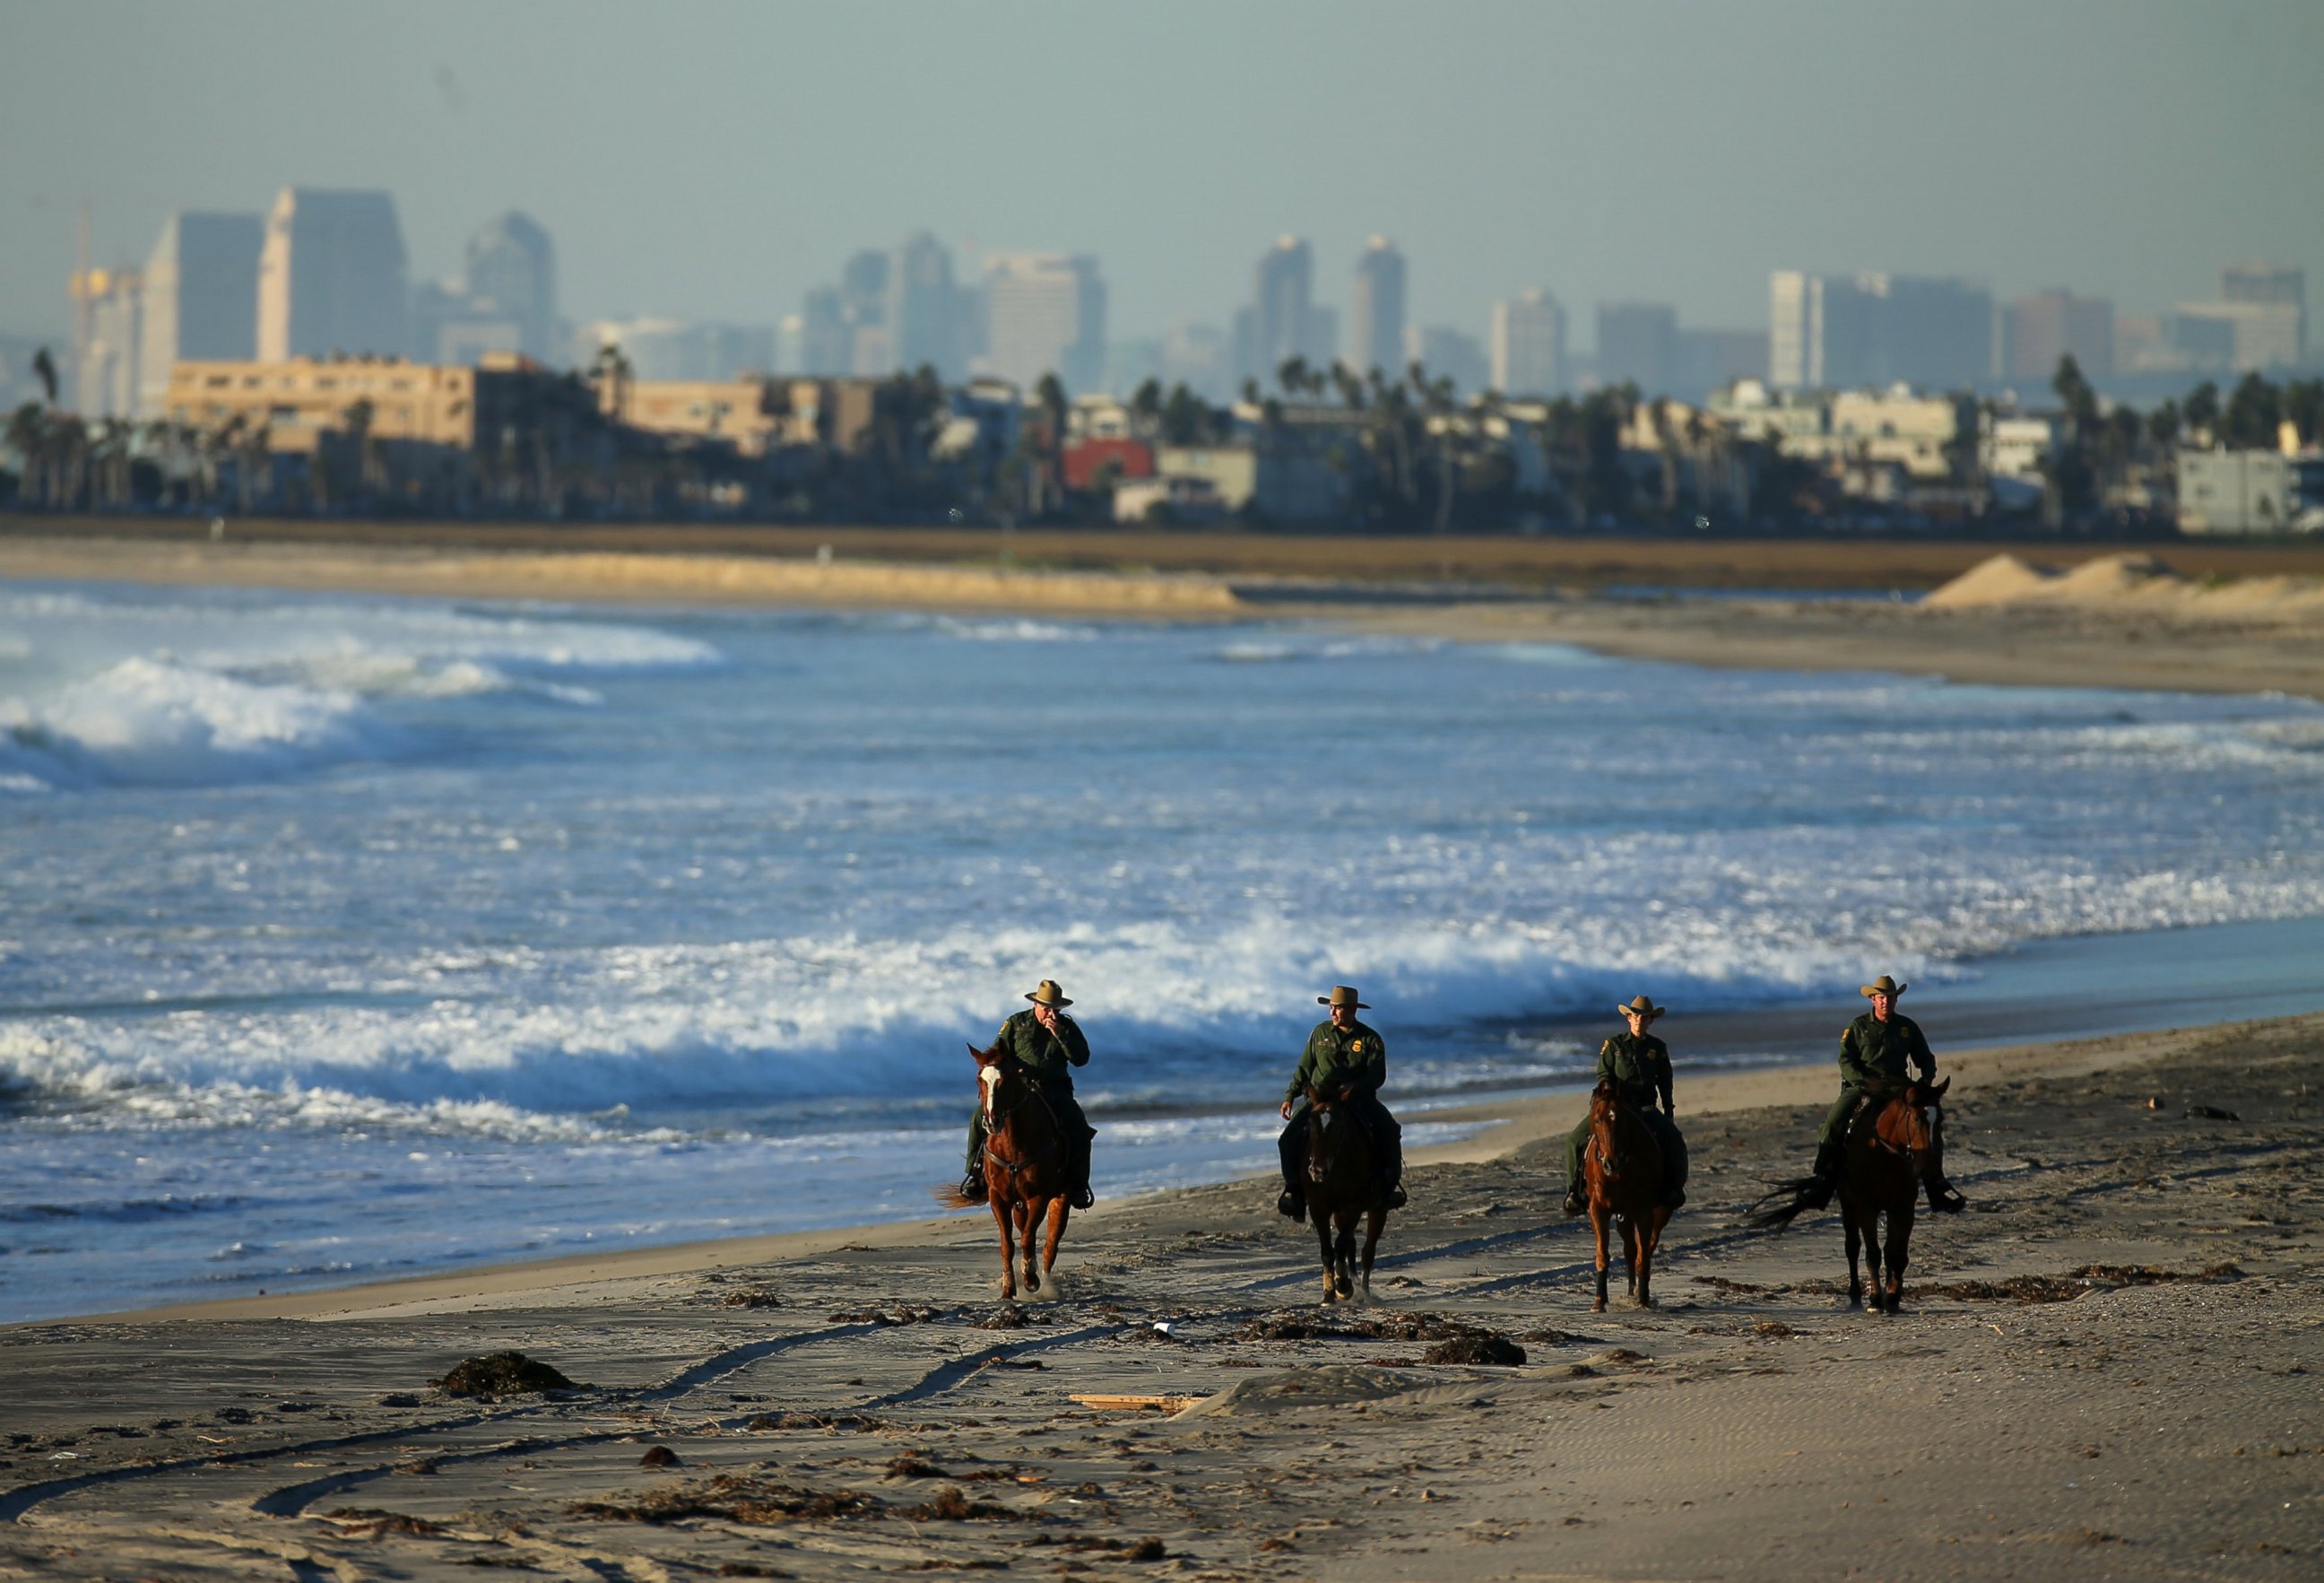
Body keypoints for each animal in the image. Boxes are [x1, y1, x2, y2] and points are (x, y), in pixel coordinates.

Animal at [933, 1036, 1069, 1292]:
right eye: (979, 1079)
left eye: (1005, 1079)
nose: (991, 1122)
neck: (1013, 1144)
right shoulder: (998, 1196)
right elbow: (1008, 1243)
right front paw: (1008, 1286)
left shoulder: (1038, 1196)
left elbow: (1028, 1237)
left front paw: (1030, 1279)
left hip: (1060, 1198)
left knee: (1051, 1243)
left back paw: (1044, 1282)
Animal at [1301, 1078, 1384, 1301]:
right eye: (1310, 1123)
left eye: (1338, 1124)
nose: (1317, 1171)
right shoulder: (1318, 1208)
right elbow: (1328, 1250)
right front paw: (1329, 1293)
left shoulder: (1355, 1206)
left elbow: (1340, 1245)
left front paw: (1343, 1287)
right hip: (1339, 1213)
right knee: (1352, 1244)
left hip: (1378, 1209)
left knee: (1367, 1251)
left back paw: (1363, 1291)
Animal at [1580, 1074, 1673, 1310]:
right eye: (1597, 1120)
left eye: (1621, 1119)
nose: (1611, 1162)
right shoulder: (1599, 1209)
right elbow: (1603, 1254)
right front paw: (1599, 1301)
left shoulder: (1645, 1212)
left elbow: (1644, 1254)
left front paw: (1643, 1299)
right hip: (1624, 1216)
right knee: (1630, 1249)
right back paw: (1631, 1291)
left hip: (1658, 1214)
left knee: (1645, 1249)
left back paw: (1640, 1293)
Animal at [1747, 1074, 1952, 1310]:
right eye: (1918, 1119)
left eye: (1941, 1120)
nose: (1930, 1169)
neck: (1886, 1154)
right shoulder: (1866, 1207)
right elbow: (1873, 1253)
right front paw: (1875, 1298)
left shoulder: (1903, 1207)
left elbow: (1897, 1255)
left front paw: (1892, 1296)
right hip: (1848, 1204)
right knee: (1852, 1247)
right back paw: (1855, 1295)